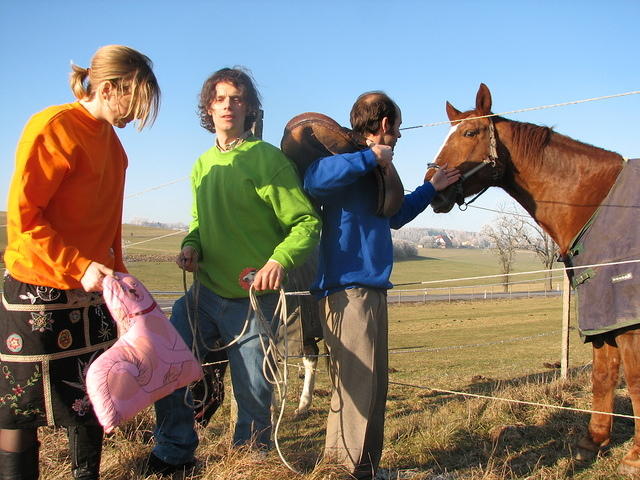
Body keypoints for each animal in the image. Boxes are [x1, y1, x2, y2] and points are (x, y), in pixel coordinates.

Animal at [424, 84, 640, 474]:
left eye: (470, 133)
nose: (432, 188)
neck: (600, 203)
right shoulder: (602, 317)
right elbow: (603, 376)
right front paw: (593, 441)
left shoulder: (628, 322)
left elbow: (634, 381)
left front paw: (634, 456)